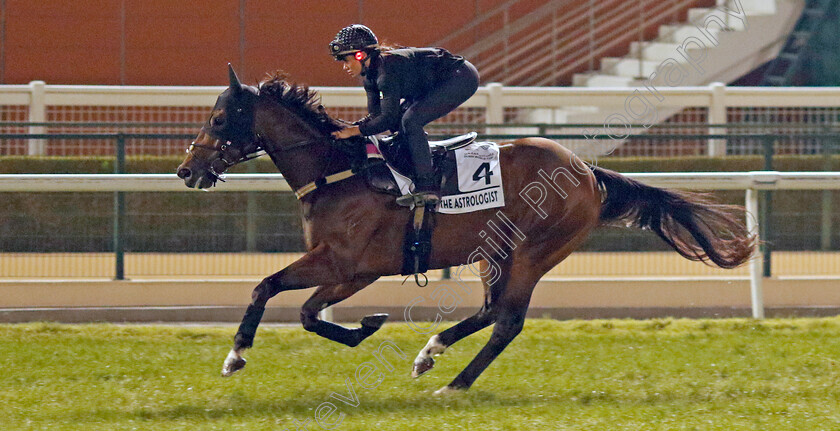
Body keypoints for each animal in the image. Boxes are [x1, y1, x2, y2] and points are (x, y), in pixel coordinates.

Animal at [176, 66, 756, 394]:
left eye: (220, 118)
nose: (186, 170)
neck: (340, 170)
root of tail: (588, 171)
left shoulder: (342, 261)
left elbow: (266, 287)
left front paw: (235, 355)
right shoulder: (353, 272)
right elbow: (308, 314)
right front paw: (369, 325)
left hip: (532, 251)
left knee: (507, 321)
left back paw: (454, 383)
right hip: (494, 253)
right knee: (491, 312)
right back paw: (430, 353)